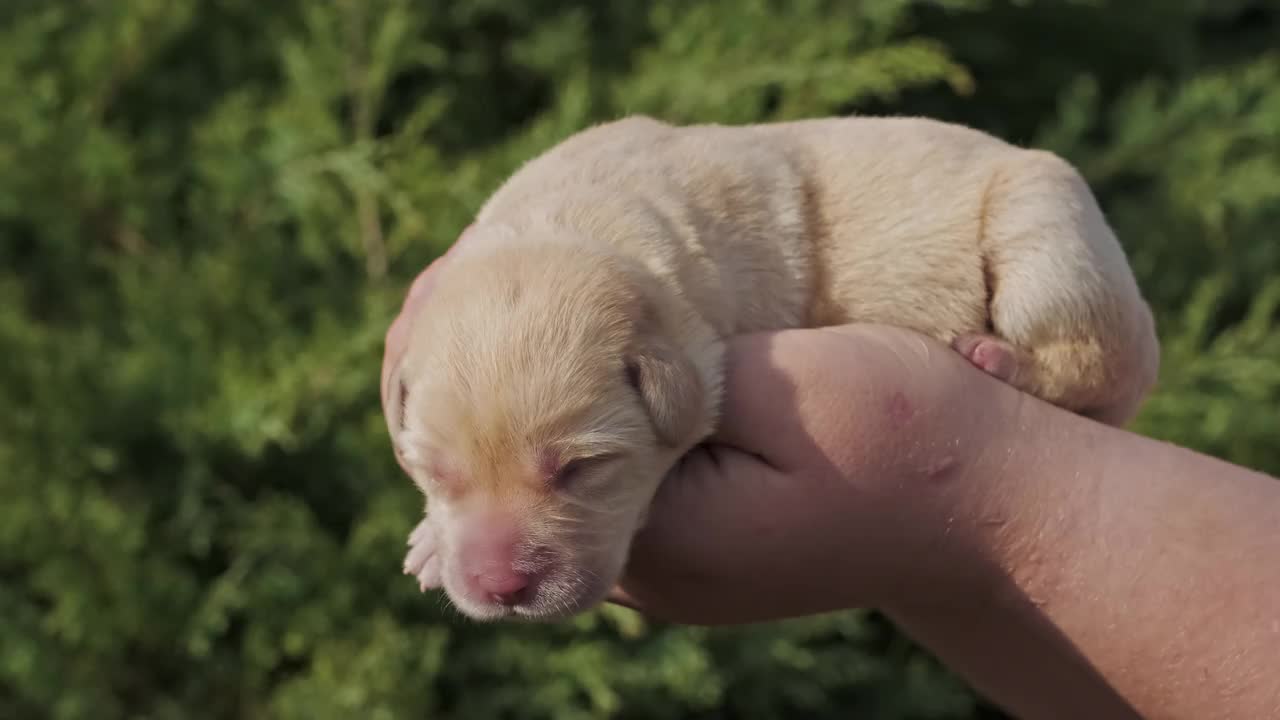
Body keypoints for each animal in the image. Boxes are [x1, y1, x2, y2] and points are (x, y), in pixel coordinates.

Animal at [386, 114, 1162, 620]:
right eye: (435, 474)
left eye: (583, 469)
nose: (501, 588)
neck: (579, 220)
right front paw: (430, 541)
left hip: (1050, 237)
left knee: (1090, 366)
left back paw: (997, 358)